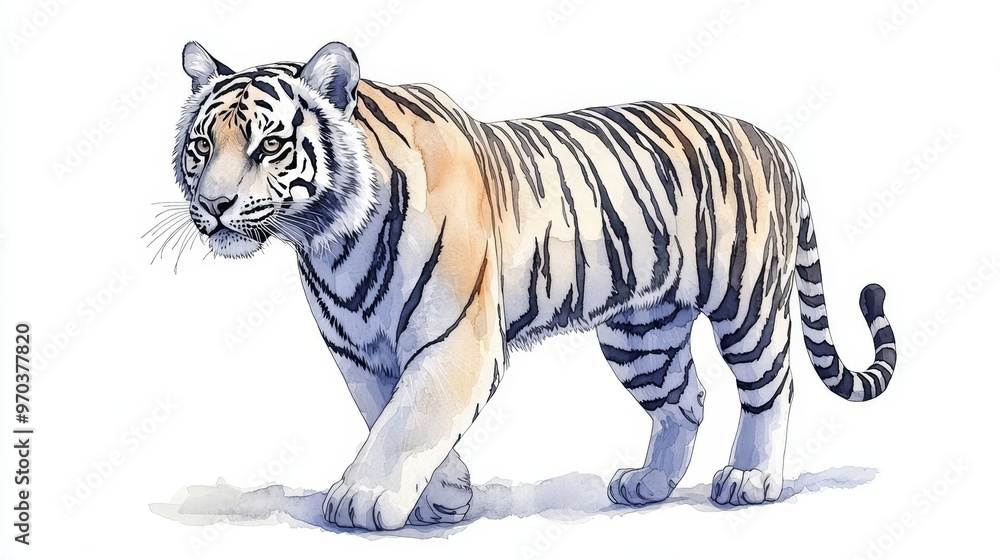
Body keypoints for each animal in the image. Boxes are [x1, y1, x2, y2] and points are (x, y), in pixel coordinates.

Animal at [170, 40, 896, 531]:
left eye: (269, 146)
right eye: (202, 146)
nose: (214, 206)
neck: (331, 241)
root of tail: (773, 139)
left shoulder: (456, 338)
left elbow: (410, 418)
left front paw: (365, 499)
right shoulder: (360, 354)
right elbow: (388, 412)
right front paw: (445, 495)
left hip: (745, 303)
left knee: (771, 386)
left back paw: (750, 478)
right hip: (642, 334)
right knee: (684, 400)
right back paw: (649, 484)